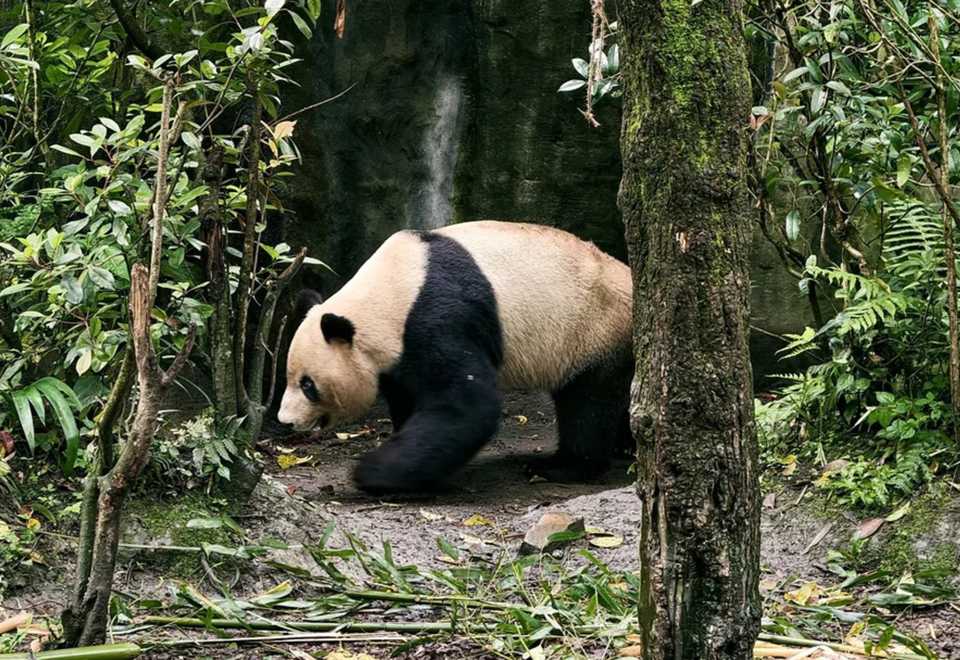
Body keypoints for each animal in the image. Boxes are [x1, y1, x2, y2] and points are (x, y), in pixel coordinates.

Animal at [277, 221, 633, 494]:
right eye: (289, 378)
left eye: (308, 385)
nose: (285, 421)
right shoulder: (398, 353)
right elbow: (411, 400)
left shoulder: (437, 318)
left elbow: (468, 405)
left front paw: (371, 471)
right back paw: (625, 447)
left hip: (592, 330)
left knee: (587, 403)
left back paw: (562, 466)